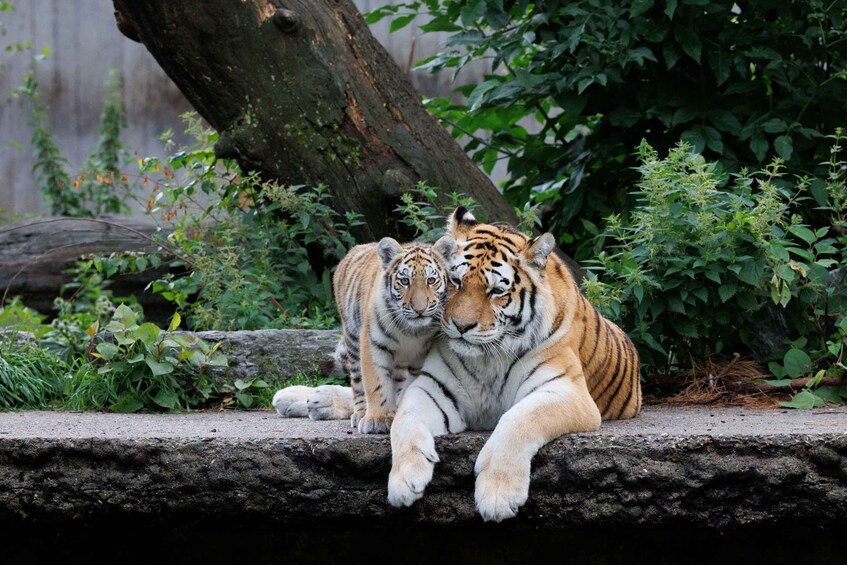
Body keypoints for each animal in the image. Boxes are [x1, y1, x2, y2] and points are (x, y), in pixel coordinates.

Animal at [272, 235, 456, 434]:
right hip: (353, 339)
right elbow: (376, 383)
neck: (411, 331)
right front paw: (377, 419)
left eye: (431, 280)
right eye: (405, 281)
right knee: (359, 383)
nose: (419, 309)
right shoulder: (372, 343)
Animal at [386, 207, 641, 521]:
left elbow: (519, 420)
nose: (460, 326)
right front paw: (404, 480)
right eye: (456, 282)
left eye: (496, 291)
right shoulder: (433, 388)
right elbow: (404, 421)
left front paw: (498, 494)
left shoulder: (565, 391)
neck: (487, 359)